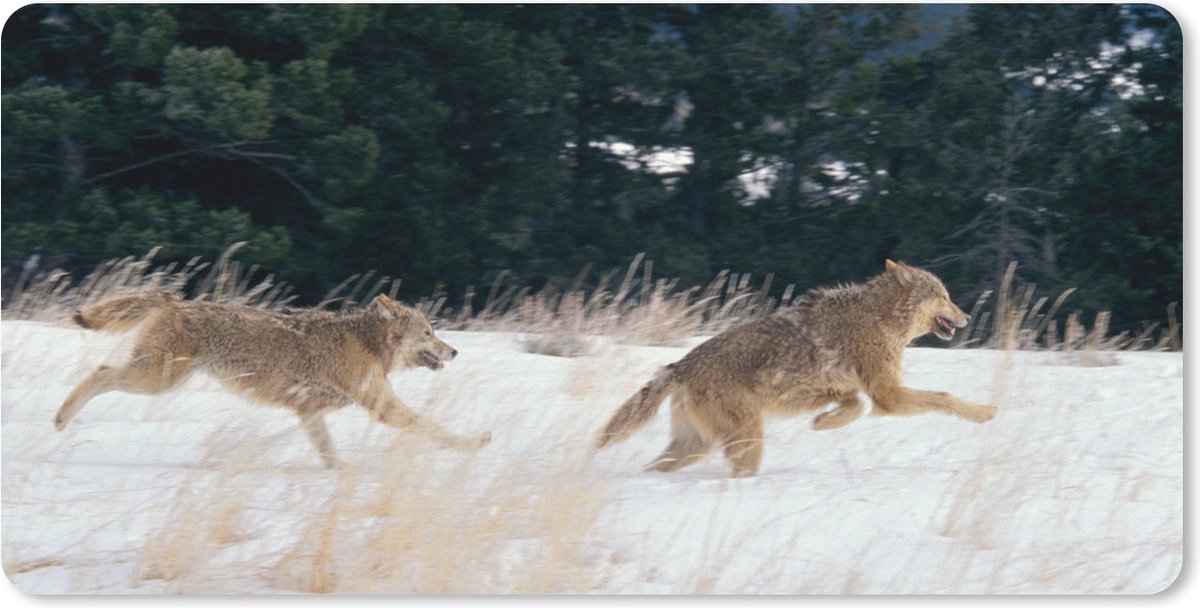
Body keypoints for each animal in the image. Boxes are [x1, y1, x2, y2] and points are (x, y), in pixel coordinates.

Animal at [54, 293, 490, 467]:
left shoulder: (309, 413)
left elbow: (330, 455)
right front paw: (474, 444)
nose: (455, 352)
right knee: (99, 373)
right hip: (156, 379)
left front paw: (342, 474)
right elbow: (434, 429)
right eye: (429, 332)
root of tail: (174, 300)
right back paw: (60, 419)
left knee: (101, 372)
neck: (367, 343)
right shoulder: (383, 407)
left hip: (158, 377)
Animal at [595, 260, 996, 477]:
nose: (967, 316)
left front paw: (823, 422)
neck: (880, 318)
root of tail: (680, 365)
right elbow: (945, 397)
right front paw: (984, 413)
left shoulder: (846, 390)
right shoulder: (888, 394)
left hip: (696, 445)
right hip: (744, 441)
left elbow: (854, 406)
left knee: (655, 468)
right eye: (945, 297)